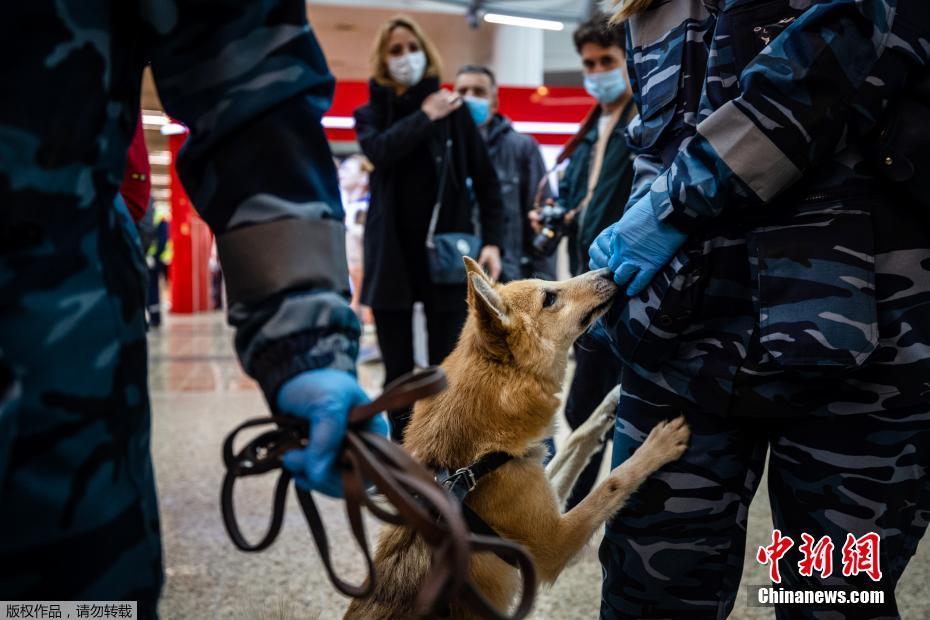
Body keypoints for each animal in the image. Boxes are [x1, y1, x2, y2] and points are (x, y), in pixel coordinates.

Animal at [344, 256, 684, 616]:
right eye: (549, 298)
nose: (609, 270)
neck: (479, 461)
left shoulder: (542, 485)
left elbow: (576, 438)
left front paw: (612, 400)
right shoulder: (554, 543)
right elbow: (614, 481)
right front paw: (658, 446)